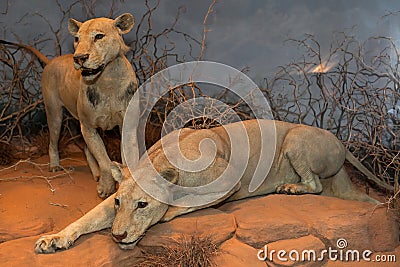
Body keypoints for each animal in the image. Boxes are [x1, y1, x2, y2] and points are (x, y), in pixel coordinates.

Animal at [34, 119, 390, 253]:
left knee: (314, 185)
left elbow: (187, 201)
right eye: (120, 203)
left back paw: (290, 188)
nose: (118, 236)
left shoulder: (229, 181)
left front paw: (167, 212)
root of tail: (343, 145)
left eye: (143, 205)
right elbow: (86, 218)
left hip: (296, 139)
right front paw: (54, 239)